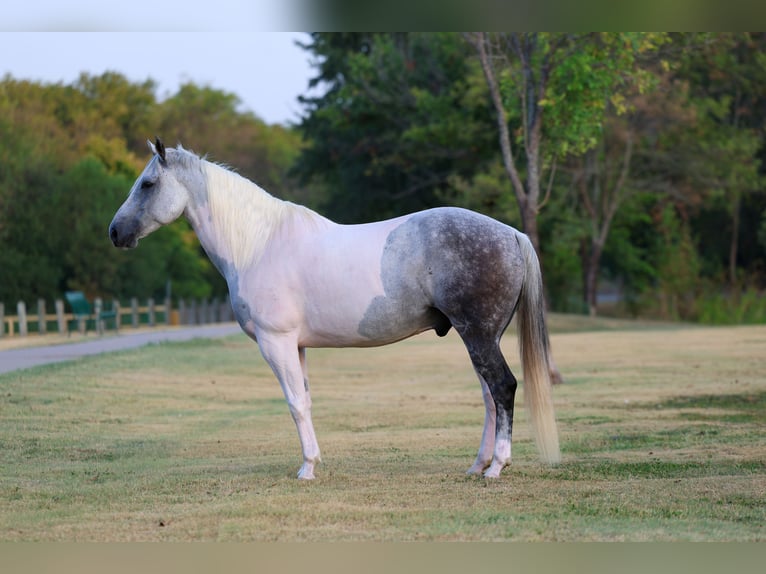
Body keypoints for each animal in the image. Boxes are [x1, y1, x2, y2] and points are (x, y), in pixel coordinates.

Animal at [109, 138, 561, 480]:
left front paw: (307, 469)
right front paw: (314, 461)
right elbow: (306, 401)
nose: (115, 232)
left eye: (147, 183)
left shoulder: (276, 342)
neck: (258, 244)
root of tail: (511, 233)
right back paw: (478, 465)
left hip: (479, 335)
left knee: (502, 388)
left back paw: (496, 467)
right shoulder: (297, 346)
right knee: (489, 397)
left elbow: (294, 402)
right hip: (481, 336)